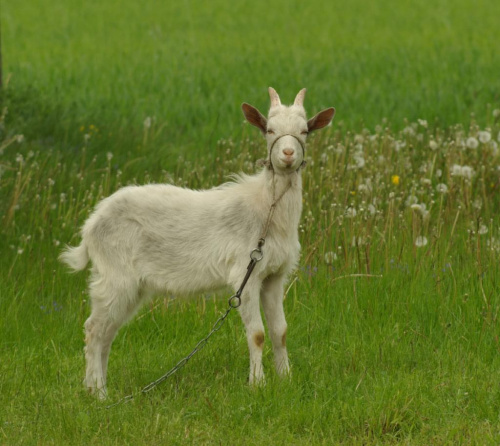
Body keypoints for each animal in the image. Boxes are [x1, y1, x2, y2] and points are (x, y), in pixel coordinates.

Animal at [60, 87, 336, 398]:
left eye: (305, 131)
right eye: (269, 130)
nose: (287, 154)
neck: (267, 208)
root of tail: (90, 226)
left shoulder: (274, 276)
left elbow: (281, 331)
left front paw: (286, 379)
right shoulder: (245, 273)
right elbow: (257, 334)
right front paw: (258, 384)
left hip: (130, 285)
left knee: (107, 332)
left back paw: (96, 388)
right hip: (115, 275)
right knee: (94, 328)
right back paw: (99, 394)